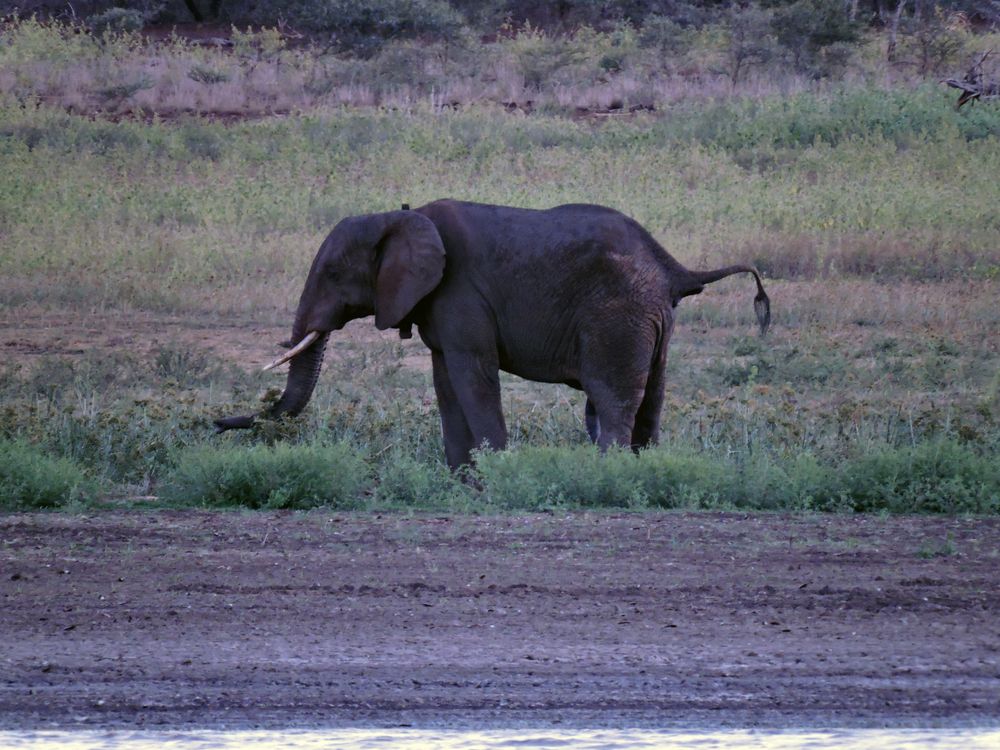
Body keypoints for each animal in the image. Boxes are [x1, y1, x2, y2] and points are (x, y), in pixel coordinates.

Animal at [215, 200, 768, 470]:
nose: (217, 424)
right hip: (652, 321)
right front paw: (461, 480)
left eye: (332, 273)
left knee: (613, 399)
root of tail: (673, 268)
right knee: (652, 397)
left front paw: (495, 477)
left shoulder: (460, 291)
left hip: (618, 316)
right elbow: (445, 383)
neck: (400, 216)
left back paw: (607, 475)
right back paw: (642, 474)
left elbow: (473, 376)